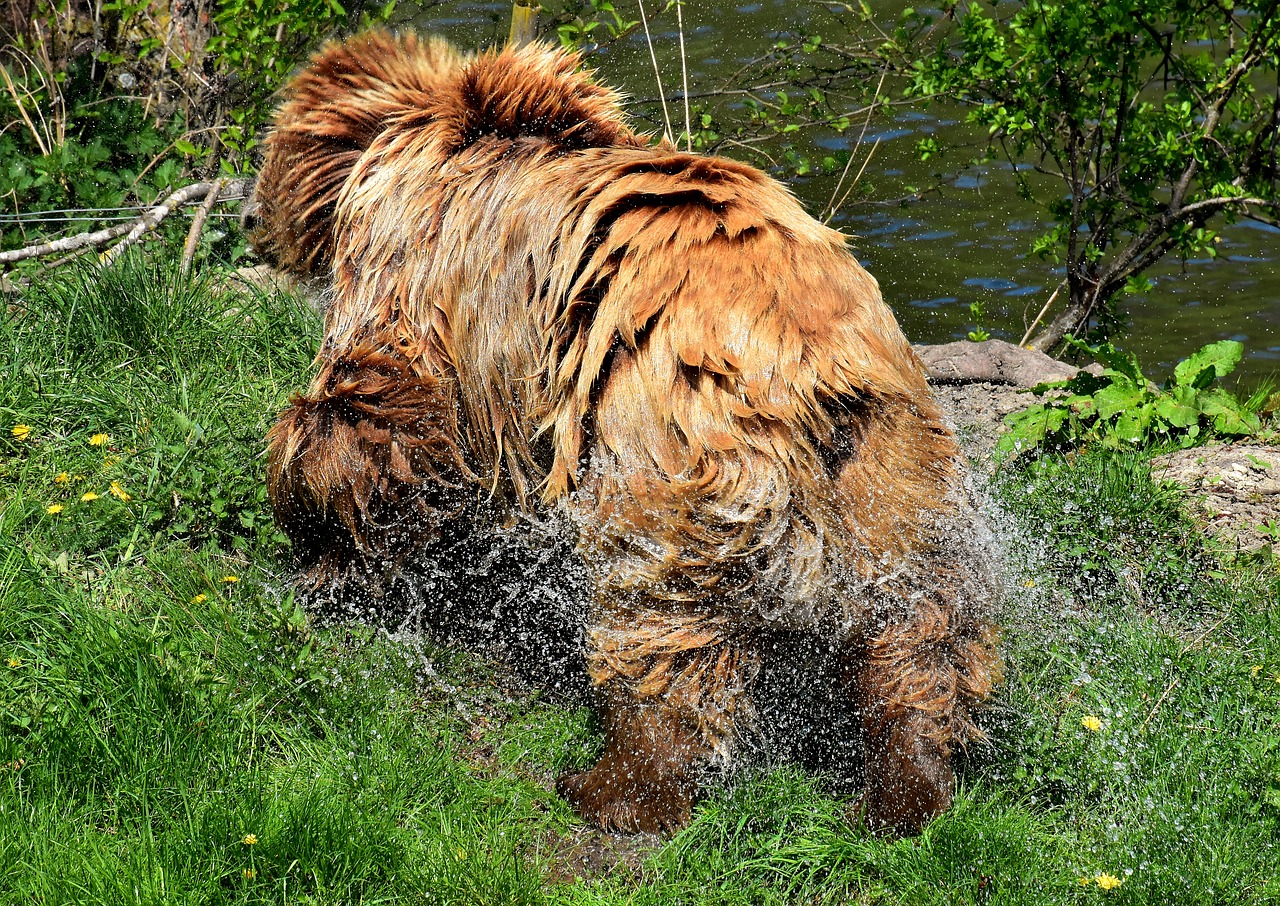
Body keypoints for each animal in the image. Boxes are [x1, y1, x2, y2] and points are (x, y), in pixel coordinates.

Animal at [254, 30, 1003, 834]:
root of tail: (808, 373)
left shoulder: (419, 273)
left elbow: (377, 406)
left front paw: (326, 551)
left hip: (675, 456)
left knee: (657, 618)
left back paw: (613, 785)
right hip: (900, 471)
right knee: (921, 627)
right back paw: (906, 785)